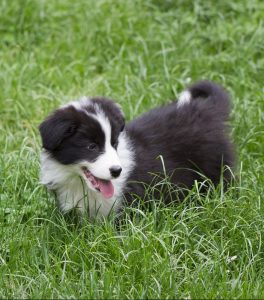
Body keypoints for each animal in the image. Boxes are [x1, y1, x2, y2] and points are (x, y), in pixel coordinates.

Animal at [39, 81, 235, 219]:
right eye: (91, 147)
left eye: (114, 143)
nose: (117, 171)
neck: (81, 185)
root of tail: (205, 110)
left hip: (215, 169)